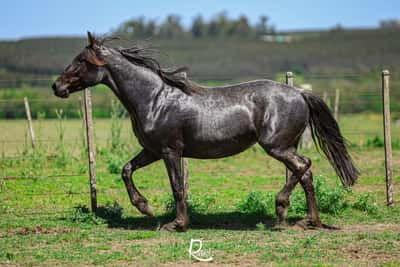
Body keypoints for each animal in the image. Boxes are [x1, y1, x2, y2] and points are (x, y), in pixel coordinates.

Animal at [51, 32, 358, 231]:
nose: (57, 86)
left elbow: (177, 186)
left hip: (277, 146)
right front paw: (145, 207)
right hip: (287, 146)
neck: (154, 99)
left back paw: (281, 210)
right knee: (305, 173)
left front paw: (177, 224)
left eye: (81, 59)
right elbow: (126, 170)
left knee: (304, 165)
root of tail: (299, 93)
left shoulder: (170, 151)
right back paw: (310, 221)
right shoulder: (151, 150)